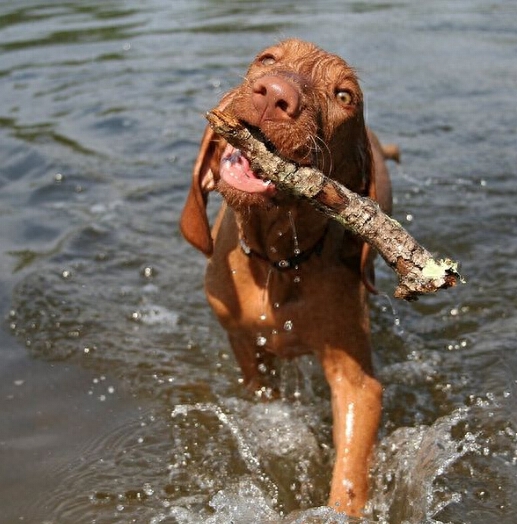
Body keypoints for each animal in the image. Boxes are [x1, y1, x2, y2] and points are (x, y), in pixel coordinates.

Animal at [179, 40, 394, 516]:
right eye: (268, 59)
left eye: (344, 96)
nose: (275, 95)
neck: (278, 265)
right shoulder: (246, 347)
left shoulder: (357, 382)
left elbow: (350, 471)